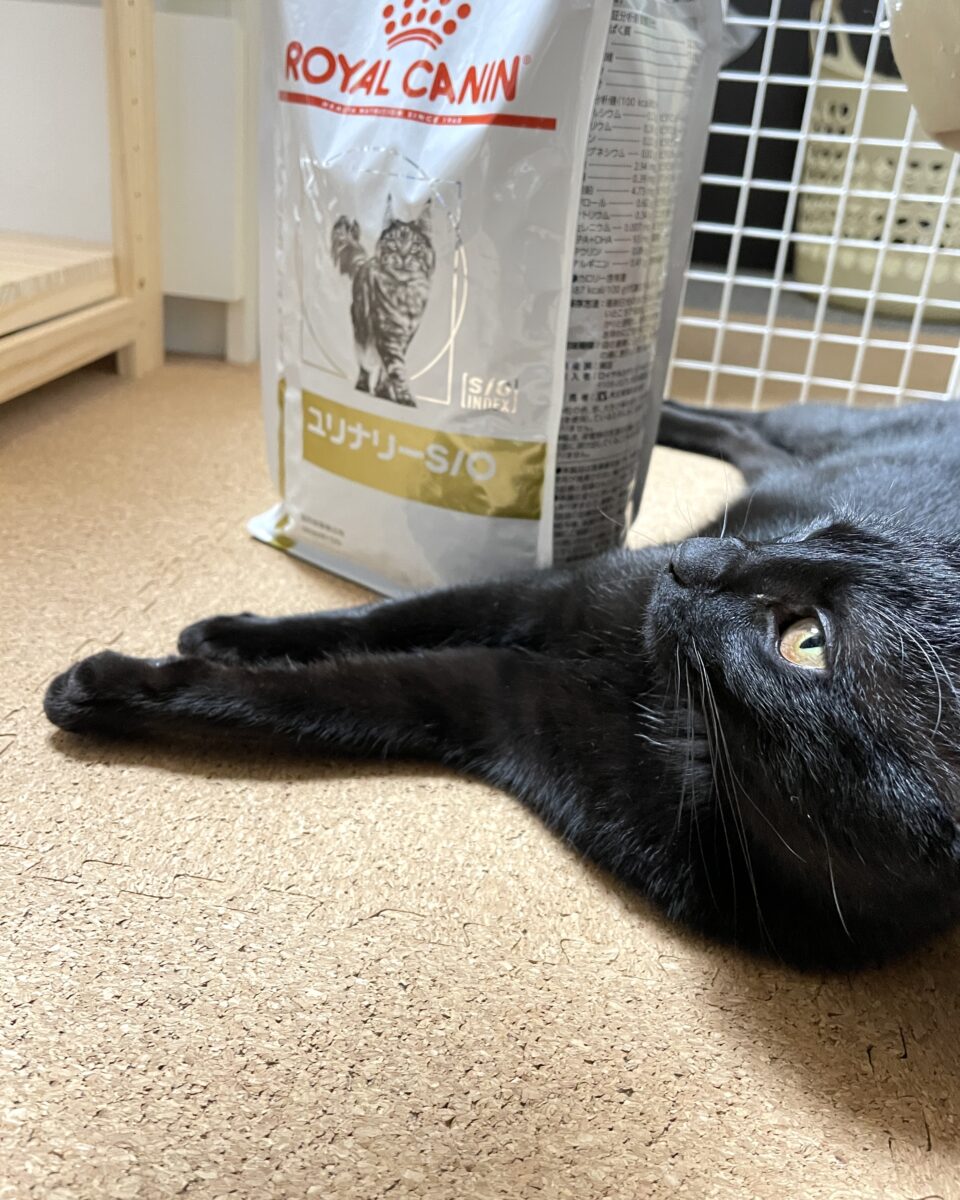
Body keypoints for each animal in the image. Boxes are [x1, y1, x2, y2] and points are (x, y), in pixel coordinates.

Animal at [43, 399, 960, 971]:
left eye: (808, 642)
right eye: (824, 530)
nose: (697, 558)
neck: (662, 706)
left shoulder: (493, 693)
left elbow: (311, 695)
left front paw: (109, 685)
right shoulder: (548, 597)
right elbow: (380, 618)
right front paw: (227, 635)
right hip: (820, 424)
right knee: (755, 427)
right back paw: (668, 417)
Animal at [330, 196, 435, 407]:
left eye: (414, 246)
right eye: (393, 244)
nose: (402, 256)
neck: (405, 292)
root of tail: (364, 263)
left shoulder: (405, 336)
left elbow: (389, 370)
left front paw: (385, 392)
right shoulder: (388, 334)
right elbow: (396, 369)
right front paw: (405, 397)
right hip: (362, 331)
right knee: (363, 361)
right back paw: (362, 385)